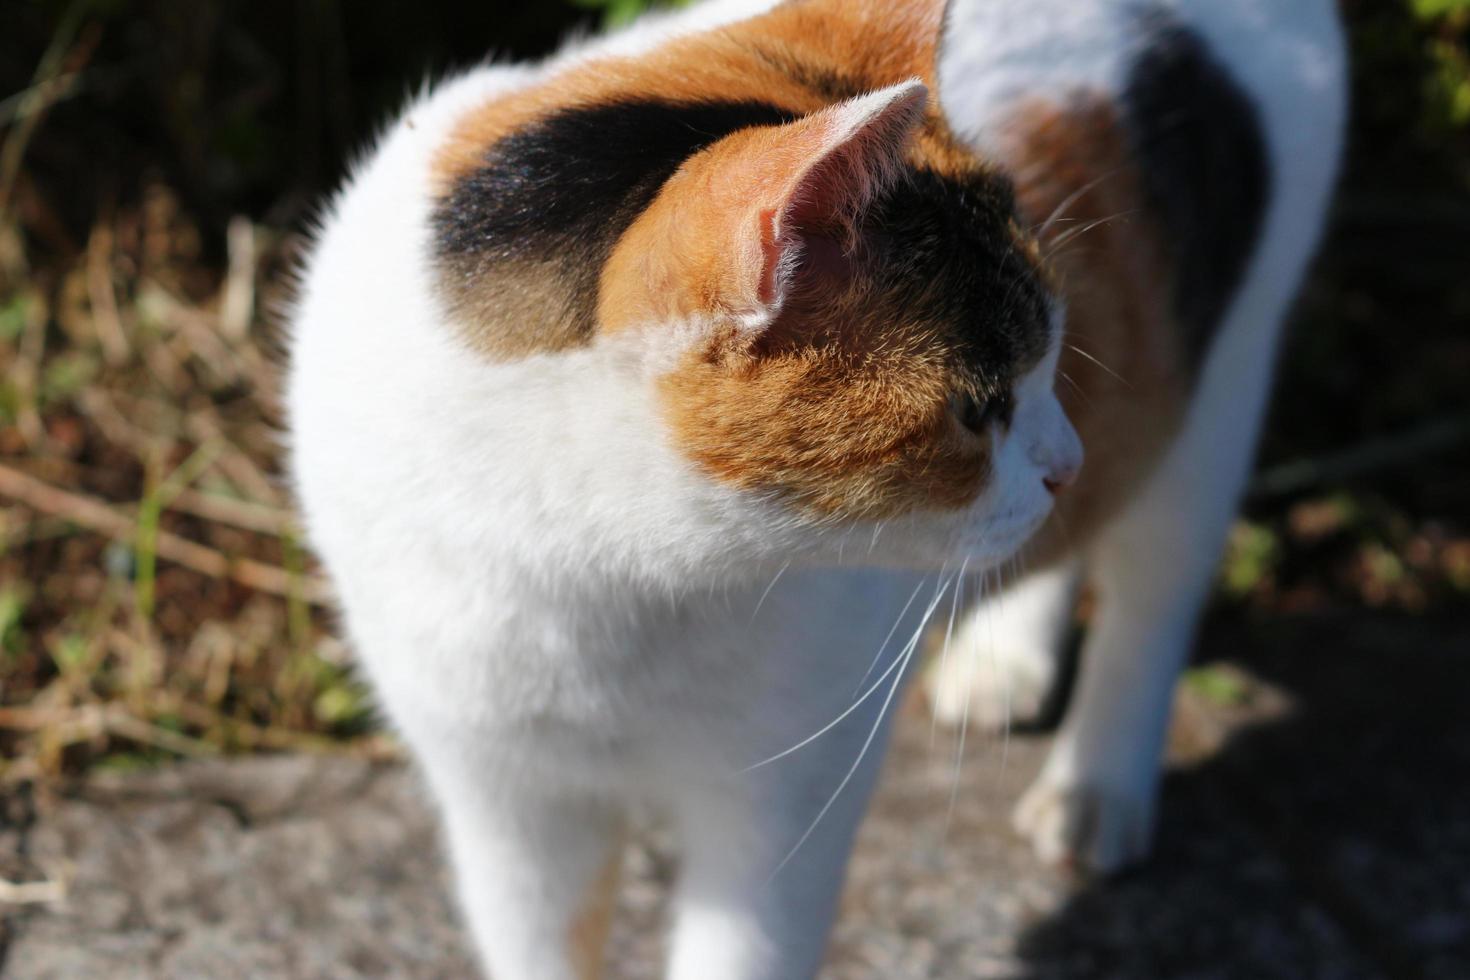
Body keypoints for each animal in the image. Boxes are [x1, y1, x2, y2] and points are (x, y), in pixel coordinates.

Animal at [283, 1, 1346, 980]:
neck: (586, 574)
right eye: (980, 407)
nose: (1062, 462)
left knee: (1154, 592)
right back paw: (1007, 655)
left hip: (1217, 398)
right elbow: (539, 941)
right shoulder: (506, 799)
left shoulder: (780, 801)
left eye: (1047, 352)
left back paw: (1097, 788)